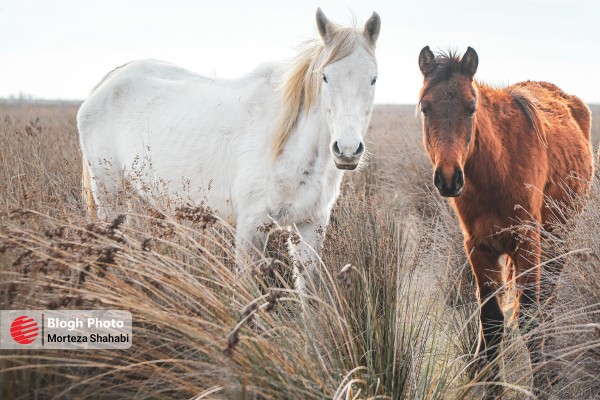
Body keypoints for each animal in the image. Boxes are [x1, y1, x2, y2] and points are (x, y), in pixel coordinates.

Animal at [76, 8, 380, 290]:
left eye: (374, 78)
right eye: (325, 77)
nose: (347, 150)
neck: (294, 147)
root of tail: (107, 82)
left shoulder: (311, 224)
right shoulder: (252, 226)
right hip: (110, 193)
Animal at [418, 47, 596, 396]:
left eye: (471, 108)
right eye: (425, 107)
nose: (449, 178)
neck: (496, 169)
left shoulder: (527, 244)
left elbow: (529, 318)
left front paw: (543, 385)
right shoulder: (479, 248)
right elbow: (491, 322)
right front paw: (491, 387)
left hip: (557, 242)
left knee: (547, 303)